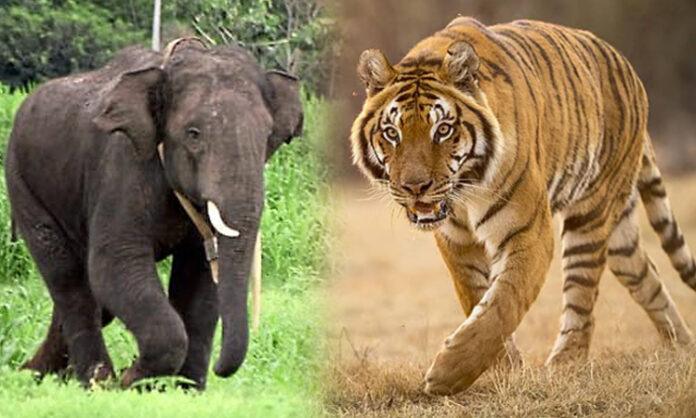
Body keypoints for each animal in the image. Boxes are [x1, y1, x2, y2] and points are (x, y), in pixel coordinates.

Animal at [350, 16, 696, 395]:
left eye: (442, 130)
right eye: (392, 133)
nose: (415, 188)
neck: (465, 190)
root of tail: (629, 69)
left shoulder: (528, 231)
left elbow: (504, 303)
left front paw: (449, 373)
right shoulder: (456, 240)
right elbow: (476, 296)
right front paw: (504, 367)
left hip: (591, 215)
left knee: (582, 296)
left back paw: (564, 364)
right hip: (620, 233)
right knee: (647, 277)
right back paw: (682, 349)